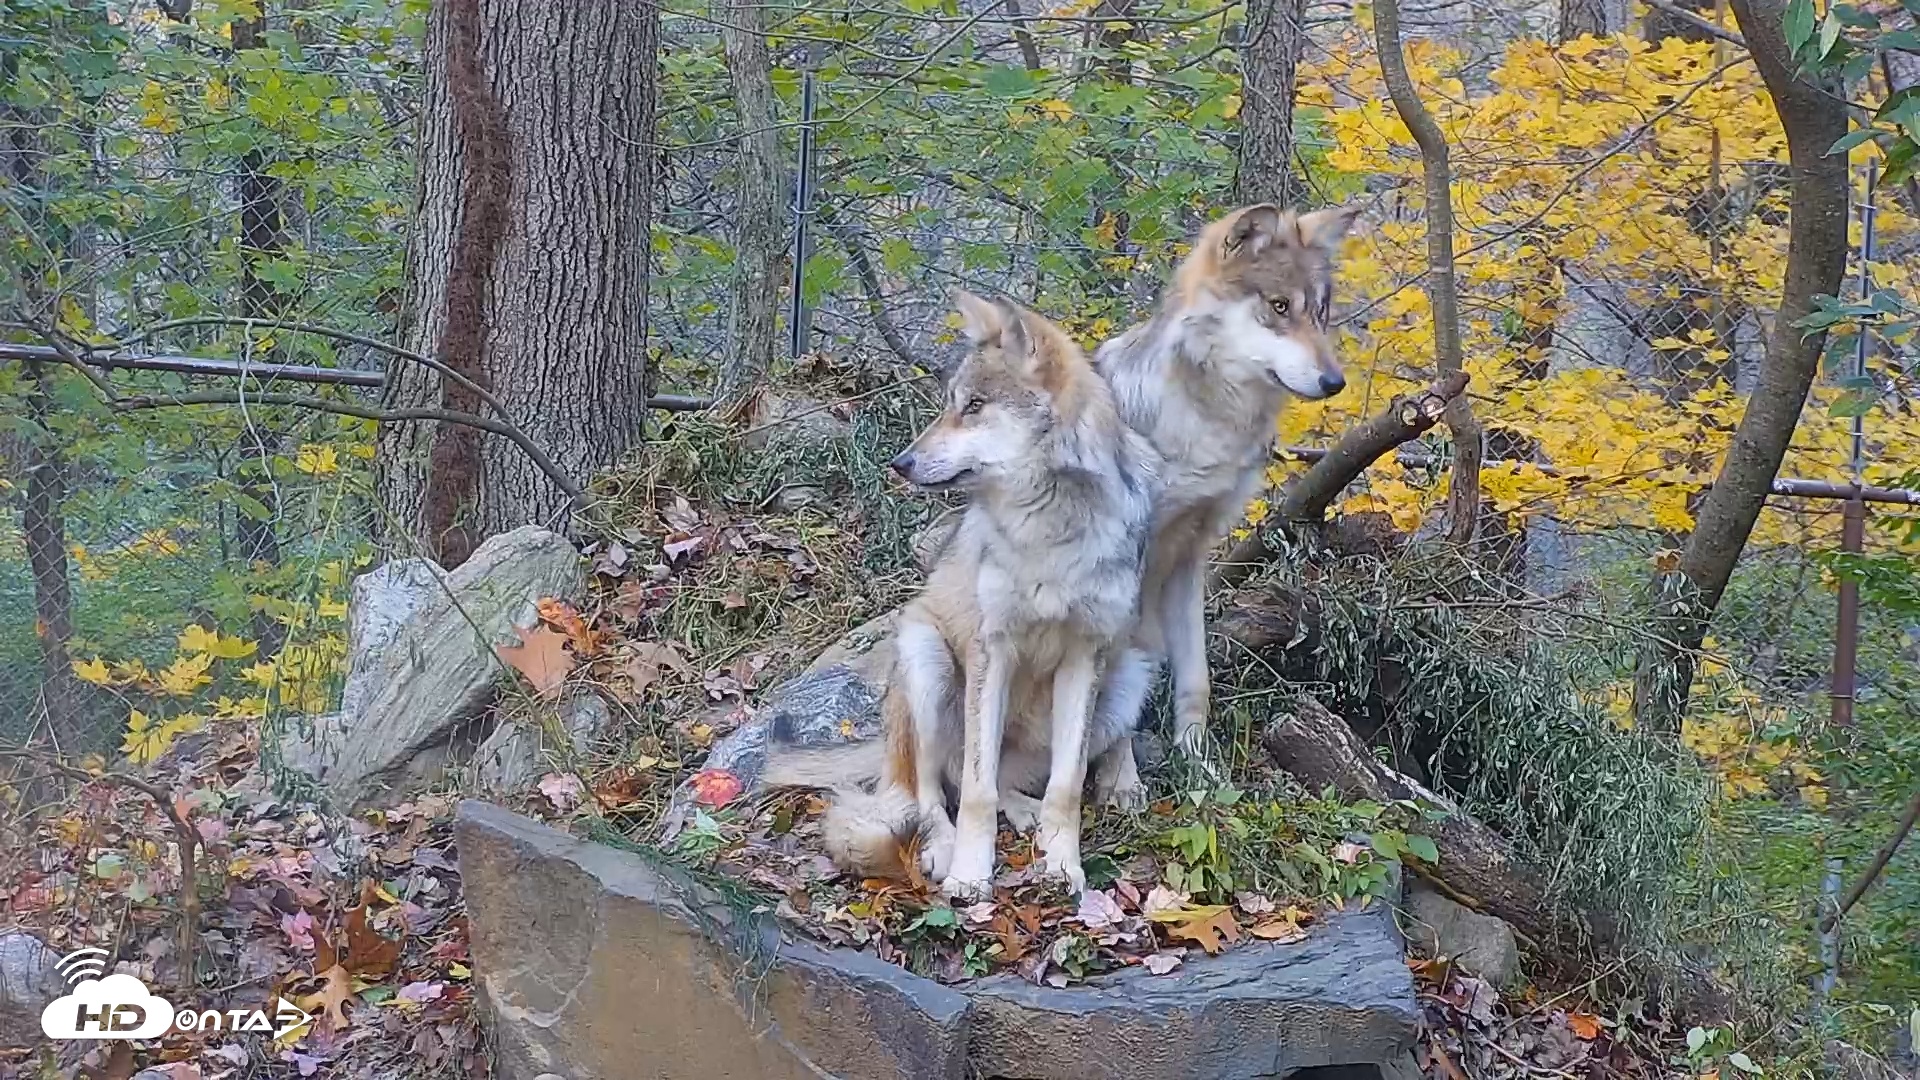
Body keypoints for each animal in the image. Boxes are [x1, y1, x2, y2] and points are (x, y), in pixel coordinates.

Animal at [765, 291, 1162, 898]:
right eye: (953, 403)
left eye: (974, 406)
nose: (900, 463)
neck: (1050, 524)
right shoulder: (988, 651)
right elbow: (975, 791)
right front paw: (971, 876)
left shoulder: (1084, 655)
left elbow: (1065, 787)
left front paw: (1063, 866)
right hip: (926, 659)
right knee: (933, 791)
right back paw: (943, 850)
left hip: (1129, 674)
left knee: (1029, 776)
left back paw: (1065, 803)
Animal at [1086, 202, 1359, 799]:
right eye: (1279, 307)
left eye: (1320, 312)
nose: (1335, 382)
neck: (1207, 423)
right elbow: (1111, 676)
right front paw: (1121, 784)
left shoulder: (1191, 554)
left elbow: (1197, 682)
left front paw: (1202, 773)